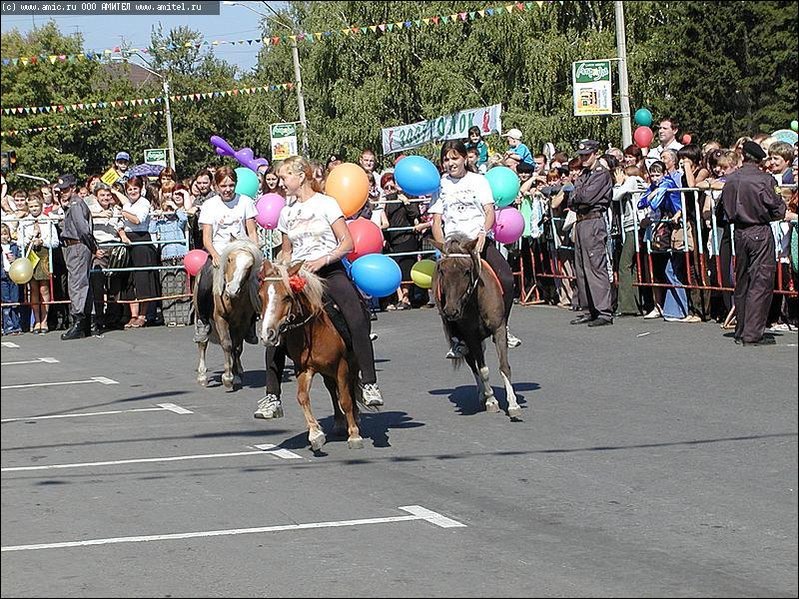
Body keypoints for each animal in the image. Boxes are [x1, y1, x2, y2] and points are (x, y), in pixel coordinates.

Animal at [193, 239, 263, 390]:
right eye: (229, 259)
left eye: (250, 265)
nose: (232, 289)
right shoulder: (220, 319)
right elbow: (227, 344)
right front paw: (228, 378)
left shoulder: (243, 322)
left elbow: (236, 347)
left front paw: (235, 376)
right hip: (201, 316)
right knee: (203, 343)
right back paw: (202, 376)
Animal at [258, 259, 364, 451]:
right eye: (261, 296)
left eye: (287, 296)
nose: (267, 334)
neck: (315, 330)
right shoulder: (304, 369)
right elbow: (302, 397)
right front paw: (315, 434)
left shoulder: (341, 366)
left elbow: (345, 399)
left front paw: (354, 435)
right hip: (326, 370)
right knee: (332, 389)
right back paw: (339, 422)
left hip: (352, 363)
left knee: (350, 387)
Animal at [431, 234, 522, 418]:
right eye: (442, 271)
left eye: (467, 271)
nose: (451, 311)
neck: (476, 300)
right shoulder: (471, 336)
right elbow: (483, 370)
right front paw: (491, 401)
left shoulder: (498, 329)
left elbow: (504, 366)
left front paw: (513, 405)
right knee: (473, 365)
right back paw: (483, 394)